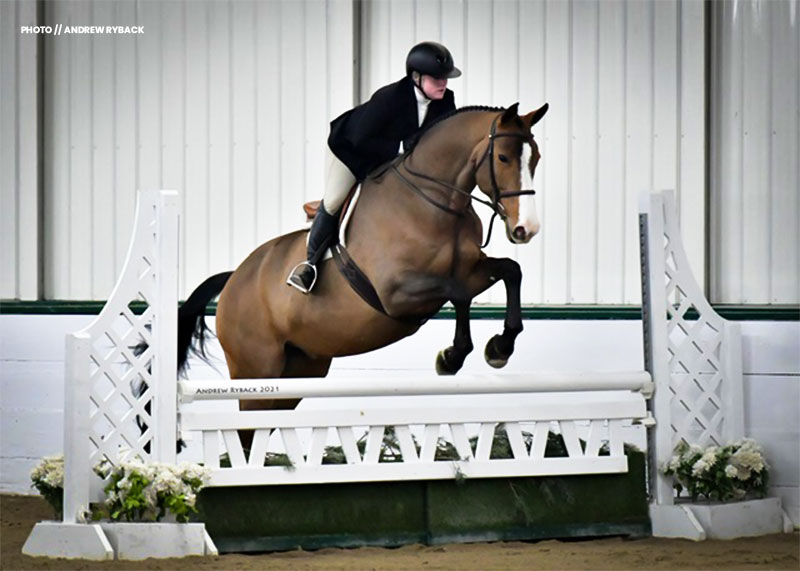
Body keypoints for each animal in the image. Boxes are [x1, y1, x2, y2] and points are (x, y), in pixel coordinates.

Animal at [176, 102, 548, 444]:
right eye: (503, 157)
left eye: (536, 159)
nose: (526, 229)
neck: (435, 203)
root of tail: (235, 277)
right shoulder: (396, 294)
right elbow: (459, 291)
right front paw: (456, 355)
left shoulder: (469, 268)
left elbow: (509, 271)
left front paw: (497, 347)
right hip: (255, 371)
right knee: (246, 434)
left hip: (299, 371)